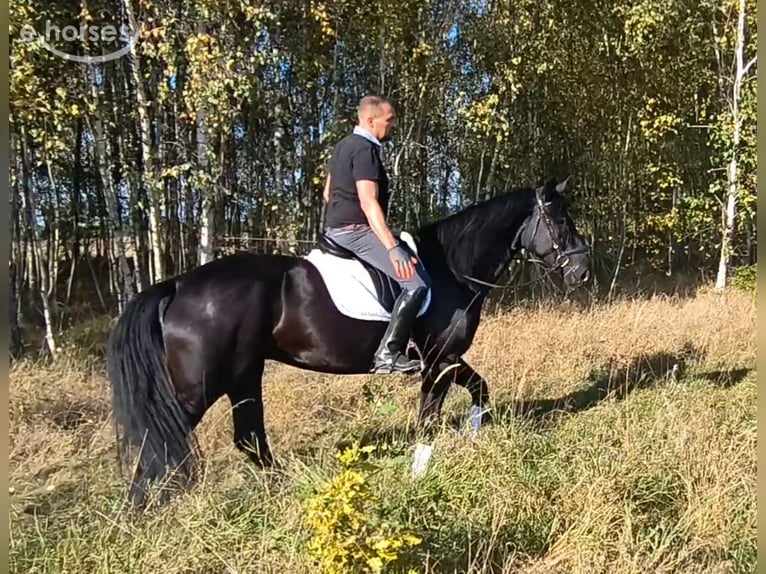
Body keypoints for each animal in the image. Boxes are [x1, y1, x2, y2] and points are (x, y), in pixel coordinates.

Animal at [106, 176, 590, 505]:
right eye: (560, 220)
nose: (582, 272)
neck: (450, 269)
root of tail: (176, 285)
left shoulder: (447, 359)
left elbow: (479, 391)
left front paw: (472, 438)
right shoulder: (440, 358)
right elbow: (430, 419)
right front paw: (420, 474)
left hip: (244, 375)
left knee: (249, 440)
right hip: (200, 387)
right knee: (160, 444)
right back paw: (137, 514)